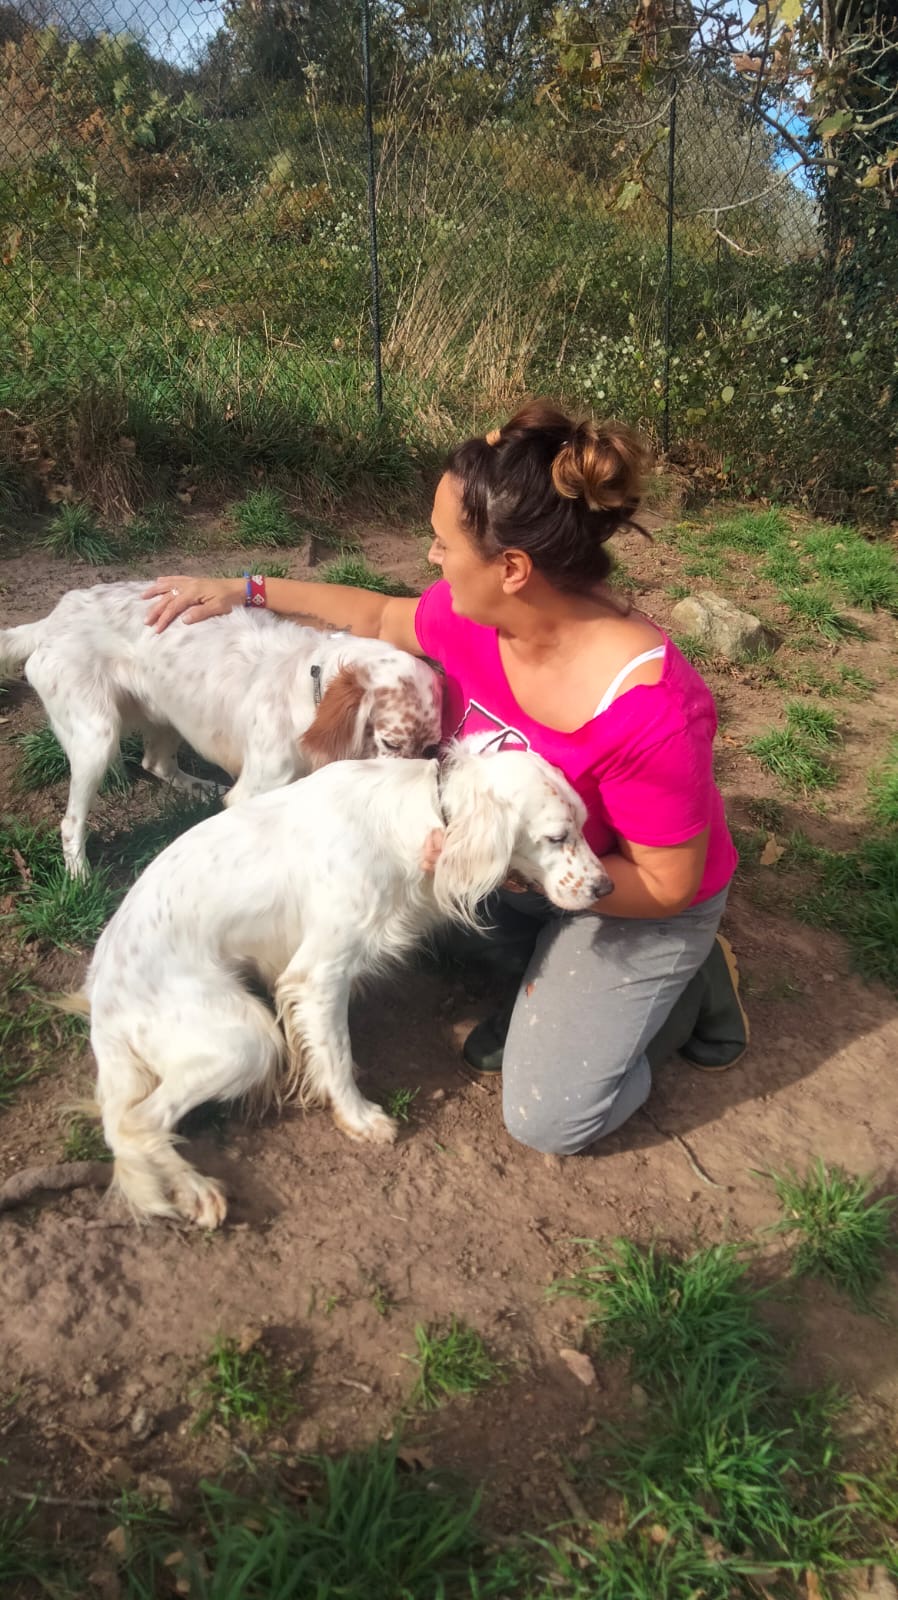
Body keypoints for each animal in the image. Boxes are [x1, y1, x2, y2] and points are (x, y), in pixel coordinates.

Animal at [0, 582, 442, 875]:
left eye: (431, 748)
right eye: (390, 742)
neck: (309, 686)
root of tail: (51, 619)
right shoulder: (259, 790)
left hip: (170, 710)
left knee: (155, 763)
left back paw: (203, 789)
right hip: (98, 737)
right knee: (71, 822)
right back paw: (80, 877)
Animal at [83, 742, 612, 1227]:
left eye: (587, 825)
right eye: (557, 836)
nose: (606, 888)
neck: (424, 813)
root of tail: (103, 1002)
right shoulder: (319, 975)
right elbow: (337, 1055)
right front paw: (358, 1117)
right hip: (247, 1040)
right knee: (133, 1123)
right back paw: (194, 1189)